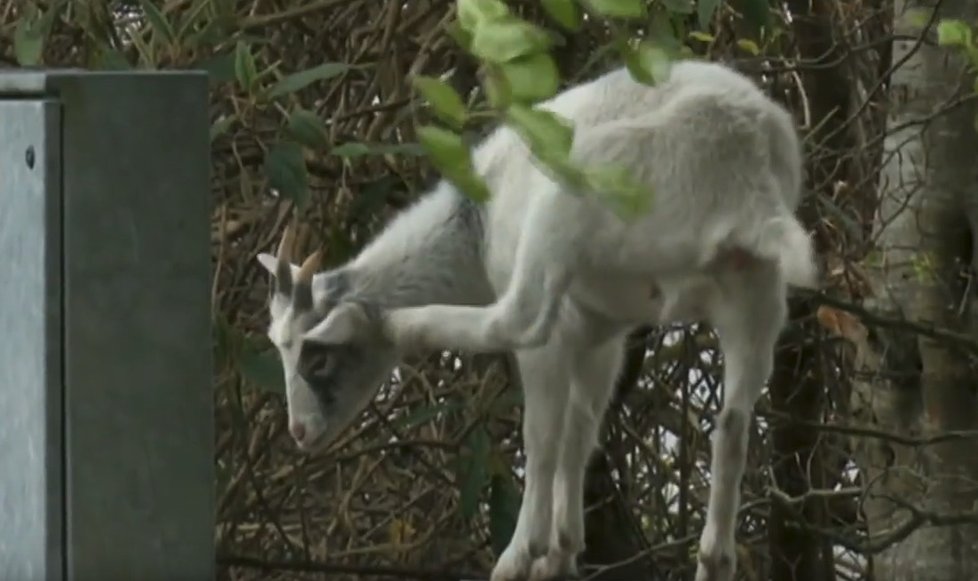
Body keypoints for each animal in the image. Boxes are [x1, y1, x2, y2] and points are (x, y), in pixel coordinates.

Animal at [254, 59, 816, 580]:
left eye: (316, 356)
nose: (300, 432)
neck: (475, 222)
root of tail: (740, 159)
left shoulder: (564, 327)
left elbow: (546, 433)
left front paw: (533, 551)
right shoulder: (603, 329)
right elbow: (582, 425)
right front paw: (563, 550)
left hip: (579, 195)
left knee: (517, 322)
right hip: (753, 286)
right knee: (734, 421)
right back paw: (714, 558)